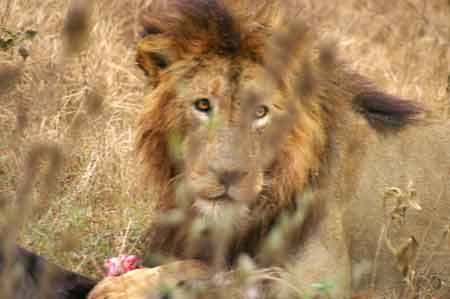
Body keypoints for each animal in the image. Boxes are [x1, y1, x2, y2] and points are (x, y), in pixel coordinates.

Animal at [88, 0, 450, 299]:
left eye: (261, 112)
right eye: (203, 105)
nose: (228, 175)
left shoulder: (320, 281)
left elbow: (227, 279)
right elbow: (201, 267)